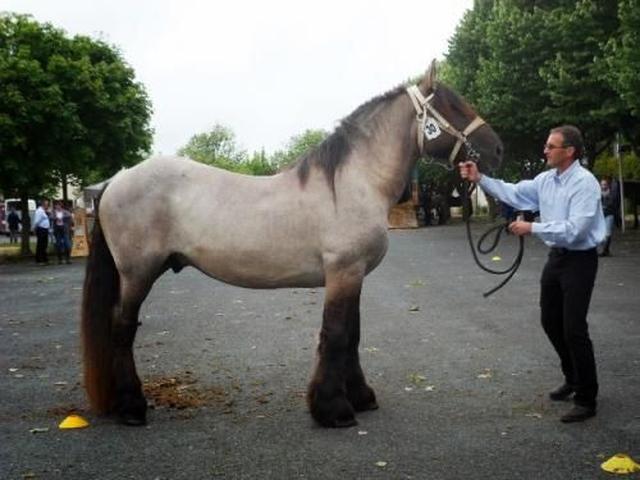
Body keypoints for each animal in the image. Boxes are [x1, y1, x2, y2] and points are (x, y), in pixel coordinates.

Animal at [81, 60, 503, 428]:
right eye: (452, 105)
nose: (497, 149)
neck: (352, 183)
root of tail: (114, 181)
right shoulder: (343, 271)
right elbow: (336, 335)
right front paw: (334, 410)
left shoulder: (354, 276)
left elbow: (353, 334)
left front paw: (360, 397)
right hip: (138, 273)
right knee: (122, 329)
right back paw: (131, 408)